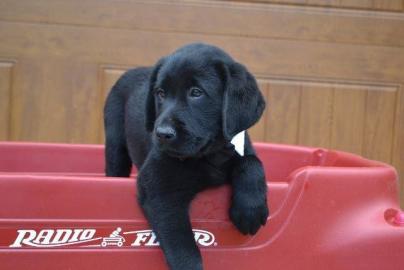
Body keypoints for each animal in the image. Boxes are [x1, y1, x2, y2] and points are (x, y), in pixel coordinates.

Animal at [103, 43, 268, 268]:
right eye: (160, 93)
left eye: (196, 93)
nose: (162, 134)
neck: (209, 154)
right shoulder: (158, 188)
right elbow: (183, 247)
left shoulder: (240, 145)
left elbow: (251, 161)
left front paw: (250, 209)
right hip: (115, 142)